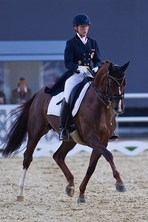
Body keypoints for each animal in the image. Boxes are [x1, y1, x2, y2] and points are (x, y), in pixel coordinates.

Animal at [2, 60, 130, 203]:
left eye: (124, 83)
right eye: (111, 83)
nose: (119, 108)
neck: (99, 106)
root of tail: (40, 92)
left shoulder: (103, 141)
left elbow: (91, 167)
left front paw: (81, 194)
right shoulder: (91, 137)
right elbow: (109, 155)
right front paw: (120, 183)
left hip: (70, 139)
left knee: (58, 156)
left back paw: (70, 186)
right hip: (36, 132)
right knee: (28, 158)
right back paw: (20, 193)